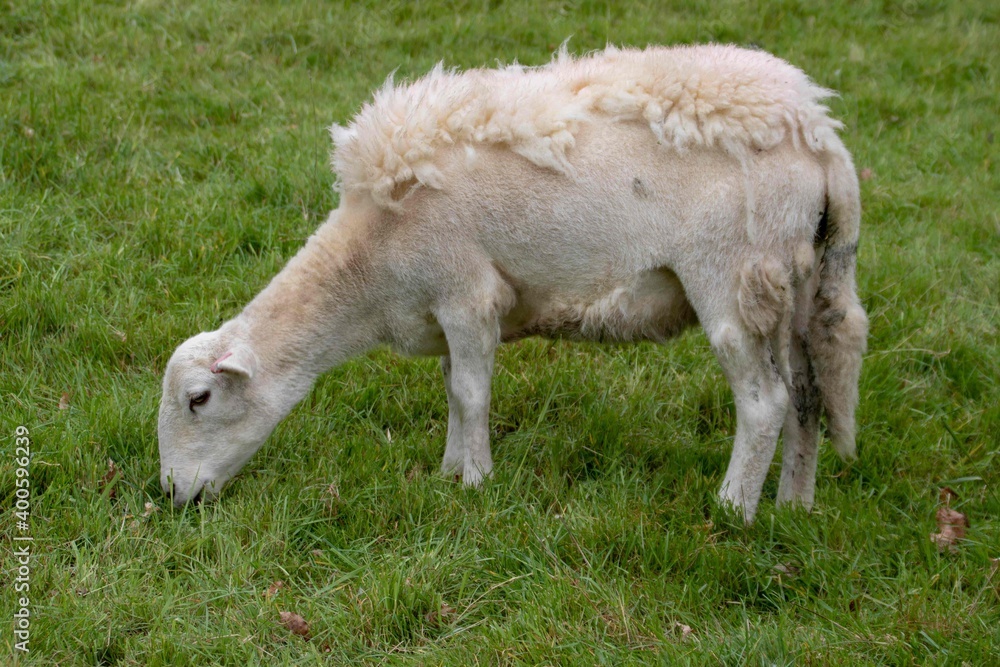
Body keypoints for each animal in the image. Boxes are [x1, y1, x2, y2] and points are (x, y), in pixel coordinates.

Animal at [158, 44, 868, 521]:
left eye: (199, 399)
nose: (171, 496)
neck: (368, 267)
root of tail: (821, 137)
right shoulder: (445, 309)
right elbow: (452, 388)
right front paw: (449, 470)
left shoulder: (466, 291)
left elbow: (471, 393)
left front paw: (474, 483)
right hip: (791, 280)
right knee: (807, 394)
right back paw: (793, 506)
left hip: (733, 274)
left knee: (764, 402)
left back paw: (732, 510)